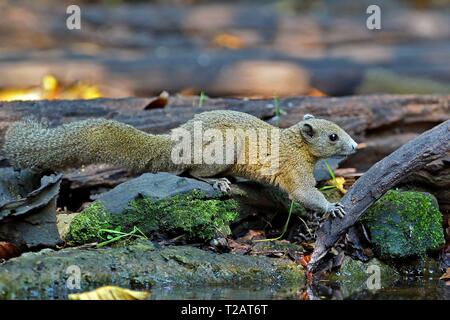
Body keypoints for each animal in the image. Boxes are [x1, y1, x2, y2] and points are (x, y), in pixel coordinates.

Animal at [1, 110, 356, 218]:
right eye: (333, 136)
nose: (354, 146)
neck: (294, 143)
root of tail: (174, 142)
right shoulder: (294, 169)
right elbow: (305, 194)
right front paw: (333, 207)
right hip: (222, 150)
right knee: (190, 172)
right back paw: (218, 182)